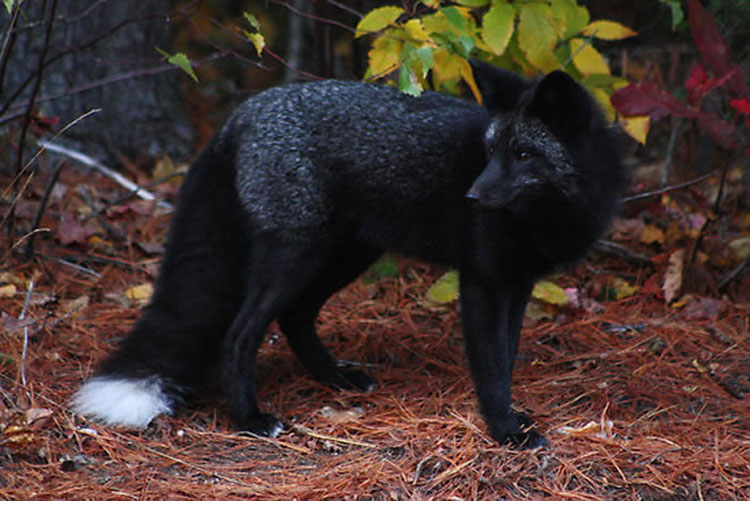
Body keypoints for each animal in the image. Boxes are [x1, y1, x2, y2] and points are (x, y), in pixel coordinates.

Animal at [70, 60, 624, 448]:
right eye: (490, 153)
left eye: (523, 154)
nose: (470, 197)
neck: (552, 213)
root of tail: (243, 113)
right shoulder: (482, 282)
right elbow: (490, 368)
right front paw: (506, 430)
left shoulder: (517, 283)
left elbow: (505, 359)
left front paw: (512, 418)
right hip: (296, 255)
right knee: (240, 333)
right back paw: (249, 419)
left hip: (342, 256)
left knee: (294, 317)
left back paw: (335, 378)